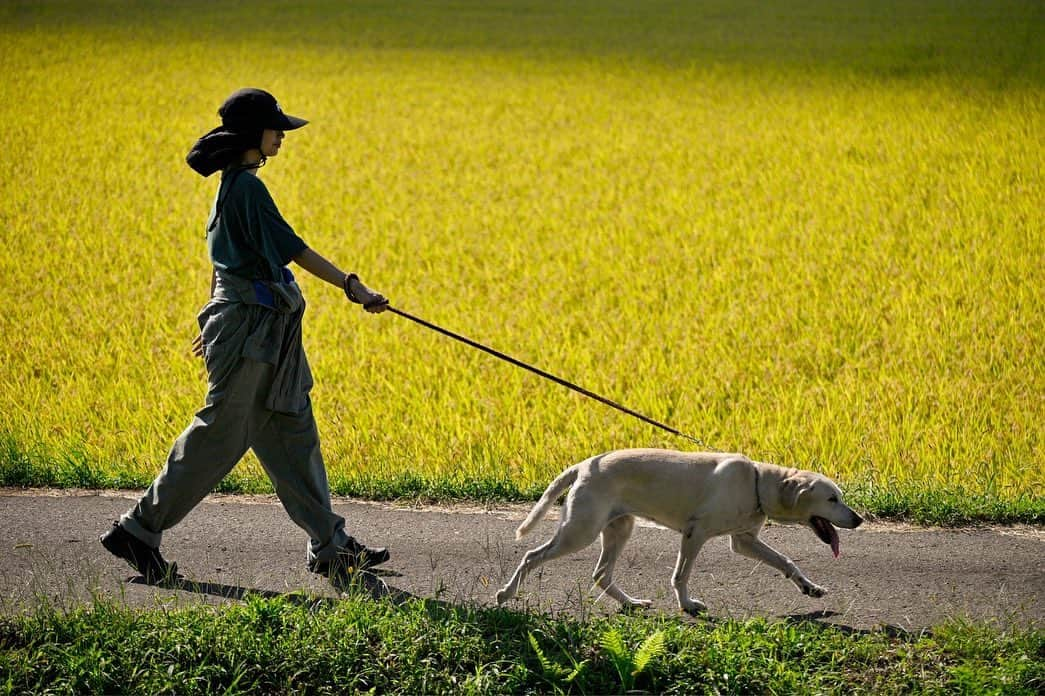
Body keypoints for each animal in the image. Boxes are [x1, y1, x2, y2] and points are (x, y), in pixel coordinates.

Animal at [497, 447, 865, 610]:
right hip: (580, 530)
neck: (757, 482)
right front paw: (687, 604)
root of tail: (584, 465)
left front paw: (809, 587)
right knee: (531, 556)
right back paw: (506, 593)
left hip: (619, 527)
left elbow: (786, 561)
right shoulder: (695, 533)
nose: (859, 519)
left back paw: (631, 603)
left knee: (601, 574)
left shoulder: (744, 540)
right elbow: (681, 574)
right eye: (832, 499)